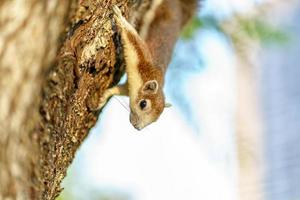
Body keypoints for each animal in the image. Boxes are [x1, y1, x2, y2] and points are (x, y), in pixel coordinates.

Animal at [96, 0, 198, 130]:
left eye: (156, 119)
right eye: (143, 104)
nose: (137, 127)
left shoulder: (130, 87)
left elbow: (119, 89)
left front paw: (104, 97)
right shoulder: (143, 61)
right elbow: (132, 40)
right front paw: (120, 18)